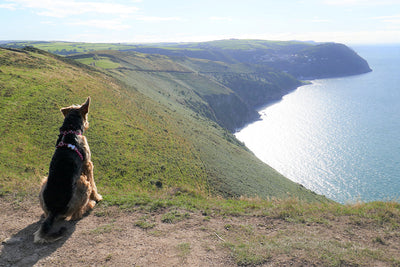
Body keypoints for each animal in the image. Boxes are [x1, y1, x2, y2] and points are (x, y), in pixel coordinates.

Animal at [33, 97, 102, 244]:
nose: (87, 124)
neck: (70, 130)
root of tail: (54, 210)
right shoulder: (88, 164)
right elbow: (94, 185)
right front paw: (97, 197)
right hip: (83, 183)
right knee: (77, 214)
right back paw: (91, 204)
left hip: (44, 183)